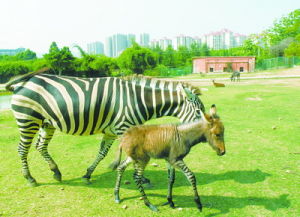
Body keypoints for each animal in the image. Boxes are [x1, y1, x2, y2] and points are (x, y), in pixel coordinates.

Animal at [5, 71, 205, 186]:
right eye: (198, 112)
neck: (138, 100)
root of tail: (21, 83)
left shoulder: (111, 132)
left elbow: (101, 153)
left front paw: (87, 174)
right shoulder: (124, 127)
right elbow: (130, 155)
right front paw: (142, 178)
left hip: (46, 123)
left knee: (40, 146)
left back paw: (56, 172)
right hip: (27, 119)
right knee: (22, 149)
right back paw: (30, 178)